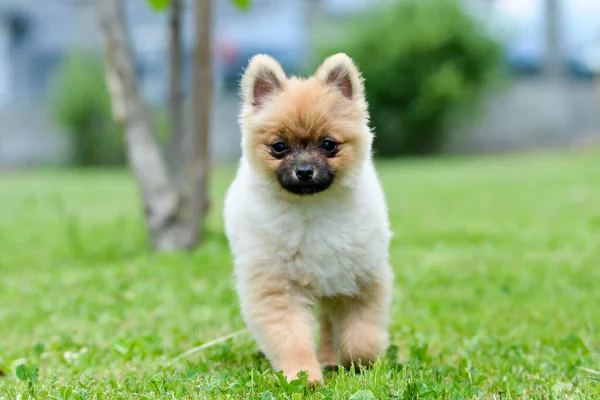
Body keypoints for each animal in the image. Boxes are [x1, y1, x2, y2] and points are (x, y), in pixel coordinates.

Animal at [225, 53, 394, 384]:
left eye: (328, 145)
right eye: (279, 147)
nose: (304, 171)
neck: (312, 209)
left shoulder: (361, 281)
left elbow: (362, 336)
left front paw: (359, 364)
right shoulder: (278, 288)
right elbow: (290, 338)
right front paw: (303, 375)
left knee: (328, 322)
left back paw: (330, 357)